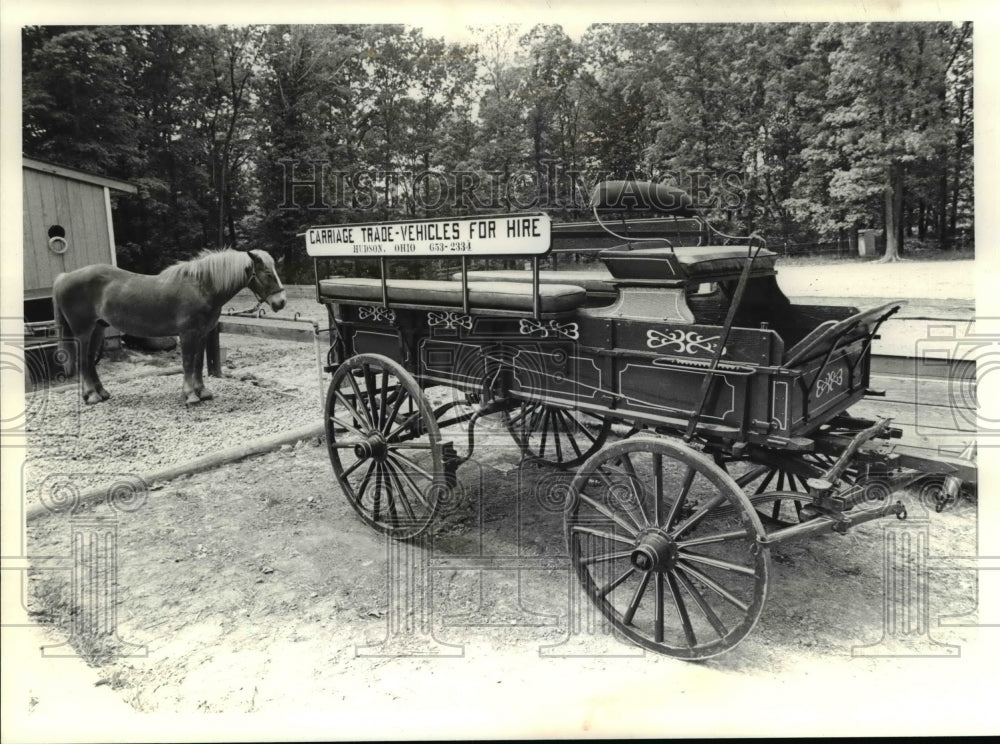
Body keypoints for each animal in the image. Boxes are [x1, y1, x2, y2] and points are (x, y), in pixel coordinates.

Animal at [54, 248, 284, 402]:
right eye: (268, 273)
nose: (281, 303)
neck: (201, 287)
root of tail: (64, 277)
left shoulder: (201, 334)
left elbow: (198, 362)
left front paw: (202, 392)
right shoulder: (187, 334)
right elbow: (188, 363)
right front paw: (190, 395)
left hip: (98, 329)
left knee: (90, 361)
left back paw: (101, 393)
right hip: (83, 331)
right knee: (83, 360)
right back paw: (92, 396)